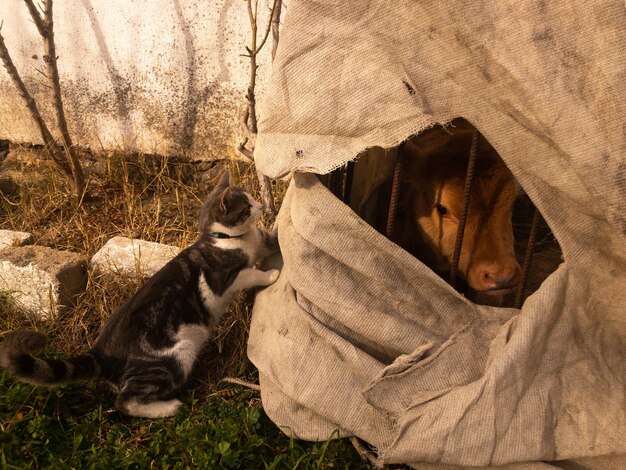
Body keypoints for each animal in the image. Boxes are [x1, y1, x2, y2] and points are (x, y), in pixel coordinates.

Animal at [0, 173, 278, 418]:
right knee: (126, 402)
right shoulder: (224, 279)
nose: (261, 205)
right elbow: (252, 274)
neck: (224, 239)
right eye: (247, 206)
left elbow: (267, 242)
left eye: (253, 198)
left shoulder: (258, 244)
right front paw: (272, 274)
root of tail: (101, 352)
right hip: (174, 358)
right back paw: (168, 408)